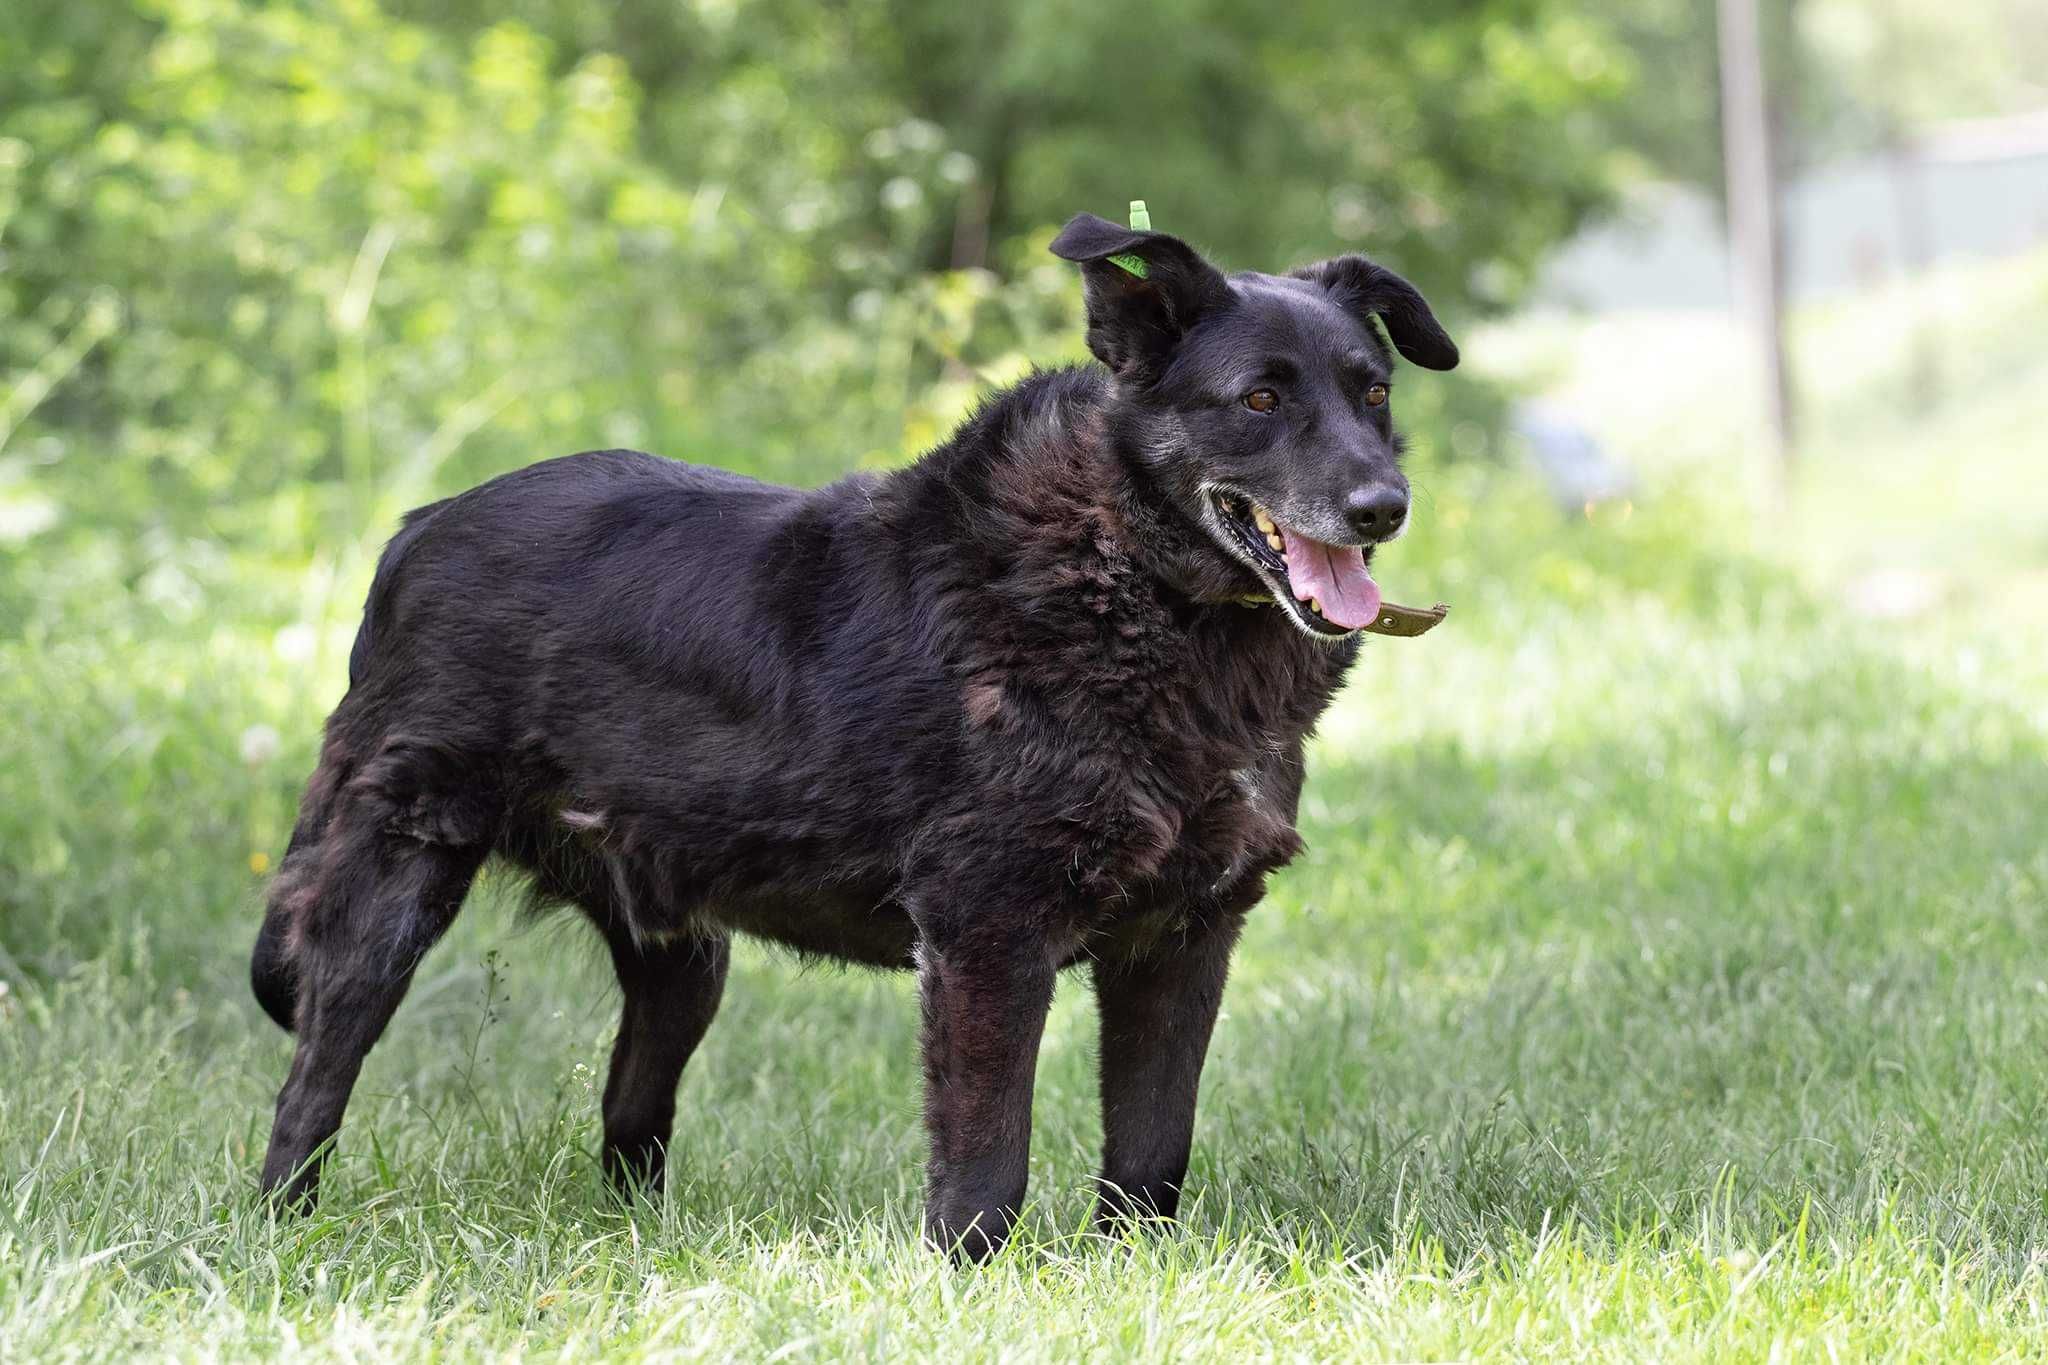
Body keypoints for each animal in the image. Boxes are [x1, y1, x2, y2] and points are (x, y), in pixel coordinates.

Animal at [251, 210, 1458, 1260]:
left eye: (1373, 393)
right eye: (1257, 398)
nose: (1382, 507)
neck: (1133, 581)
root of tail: (416, 532)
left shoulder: (1184, 934)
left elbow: (1152, 1156)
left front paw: (1142, 1280)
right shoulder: (986, 931)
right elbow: (985, 1171)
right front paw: (968, 1290)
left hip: (681, 957)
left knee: (631, 1121)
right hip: (388, 895)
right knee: (309, 1091)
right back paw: (279, 1235)